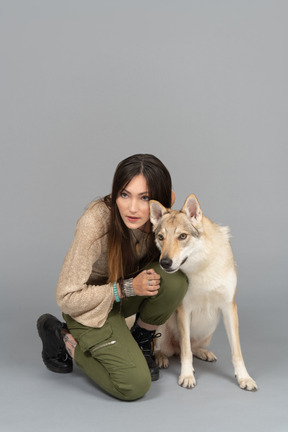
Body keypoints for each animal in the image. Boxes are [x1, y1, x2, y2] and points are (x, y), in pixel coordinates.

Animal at [150, 193, 258, 392]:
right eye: (161, 237)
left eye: (182, 236)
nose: (165, 263)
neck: (202, 266)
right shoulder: (184, 310)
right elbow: (186, 351)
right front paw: (187, 376)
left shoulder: (229, 308)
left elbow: (236, 352)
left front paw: (244, 378)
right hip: (163, 324)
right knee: (167, 349)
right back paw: (161, 358)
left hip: (210, 326)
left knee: (189, 348)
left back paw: (204, 353)